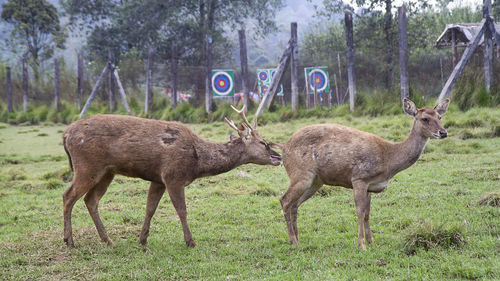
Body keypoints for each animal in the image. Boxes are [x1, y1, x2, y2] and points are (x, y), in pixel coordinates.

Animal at [61, 105, 282, 247]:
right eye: (263, 142)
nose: (278, 157)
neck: (197, 162)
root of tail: (65, 134)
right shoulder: (173, 176)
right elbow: (182, 210)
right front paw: (190, 242)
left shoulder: (158, 179)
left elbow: (150, 208)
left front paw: (142, 239)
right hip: (87, 166)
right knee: (68, 196)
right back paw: (69, 241)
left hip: (107, 171)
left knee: (91, 200)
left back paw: (108, 240)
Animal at [282, 98, 450, 249]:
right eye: (425, 119)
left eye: (440, 117)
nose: (443, 132)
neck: (388, 160)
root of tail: (283, 149)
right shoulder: (359, 178)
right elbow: (360, 212)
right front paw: (361, 244)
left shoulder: (370, 185)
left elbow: (368, 214)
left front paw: (371, 241)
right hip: (300, 174)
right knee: (285, 200)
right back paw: (293, 241)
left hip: (315, 181)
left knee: (294, 204)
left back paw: (298, 239)